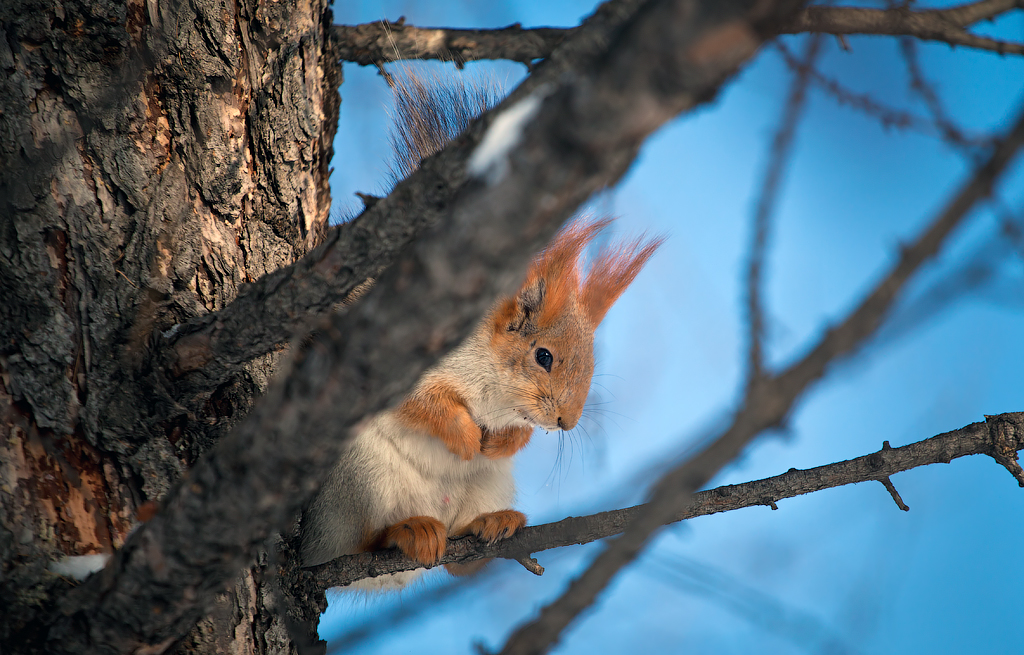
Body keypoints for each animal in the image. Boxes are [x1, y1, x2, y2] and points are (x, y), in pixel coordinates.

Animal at [299, 66, 663, 589]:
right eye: (543, 356)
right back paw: (405, 531)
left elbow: (514, 434)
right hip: (355, 478)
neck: (493, 387)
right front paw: (467, 436)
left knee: (459, 562)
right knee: (360, 544)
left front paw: (502, 440)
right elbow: (421, 402)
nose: (566, 422)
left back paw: (492, 524)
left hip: (489, 484)